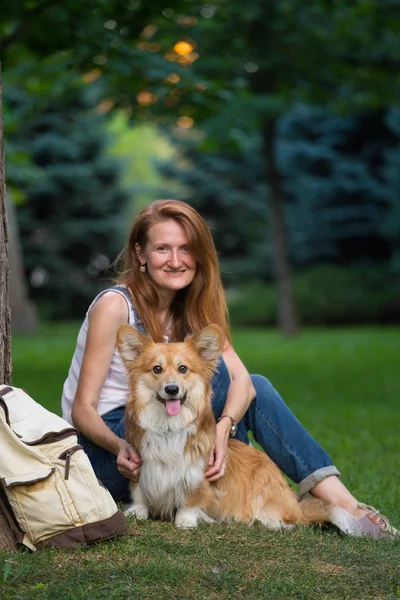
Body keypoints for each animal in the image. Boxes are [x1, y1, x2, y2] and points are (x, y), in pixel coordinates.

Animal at [116, 326, 354, 532]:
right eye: (157, 369)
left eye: (183, 369)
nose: (172, 389)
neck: (168, 426)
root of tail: (295, 504)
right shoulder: (142, 466)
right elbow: (140, 493)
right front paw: (137, 512)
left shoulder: (195, 473)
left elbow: (191, 497)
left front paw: (185, 520)